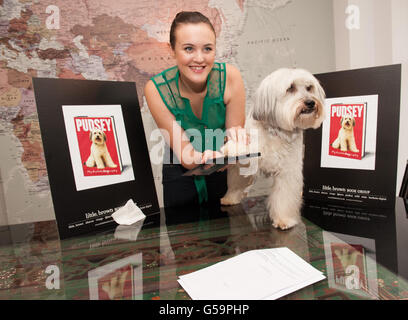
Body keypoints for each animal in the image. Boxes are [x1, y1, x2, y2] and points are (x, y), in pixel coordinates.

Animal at [220, 69, 326, 230]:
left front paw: (284, 220)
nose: (310, 102)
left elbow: (284, 197)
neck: (276, 132)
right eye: (290, 88)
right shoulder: (250, 155)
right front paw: (231, 149)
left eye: (309, 88)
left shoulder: (288, 172)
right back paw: (230, 198)